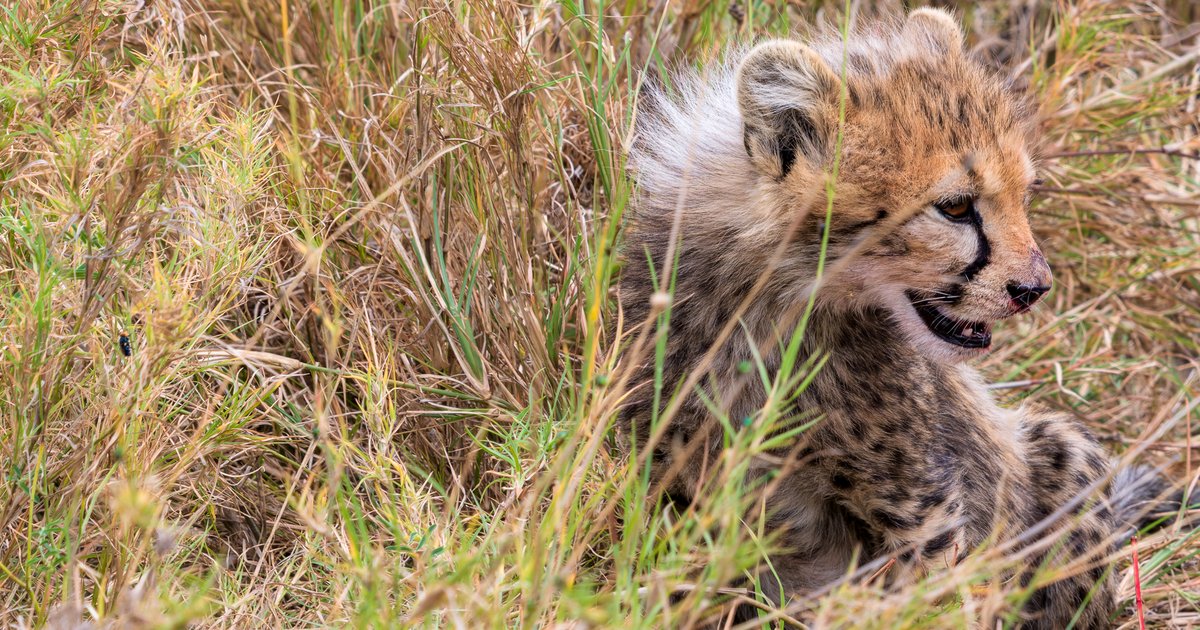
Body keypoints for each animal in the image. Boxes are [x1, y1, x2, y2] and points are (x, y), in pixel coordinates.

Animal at [617, 8, 1180, 628]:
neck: (780, 308)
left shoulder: (922, 508)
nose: (1034, 289)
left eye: (1024, 194)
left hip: (1061, 447)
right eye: (955, 206)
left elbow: (926, 598)